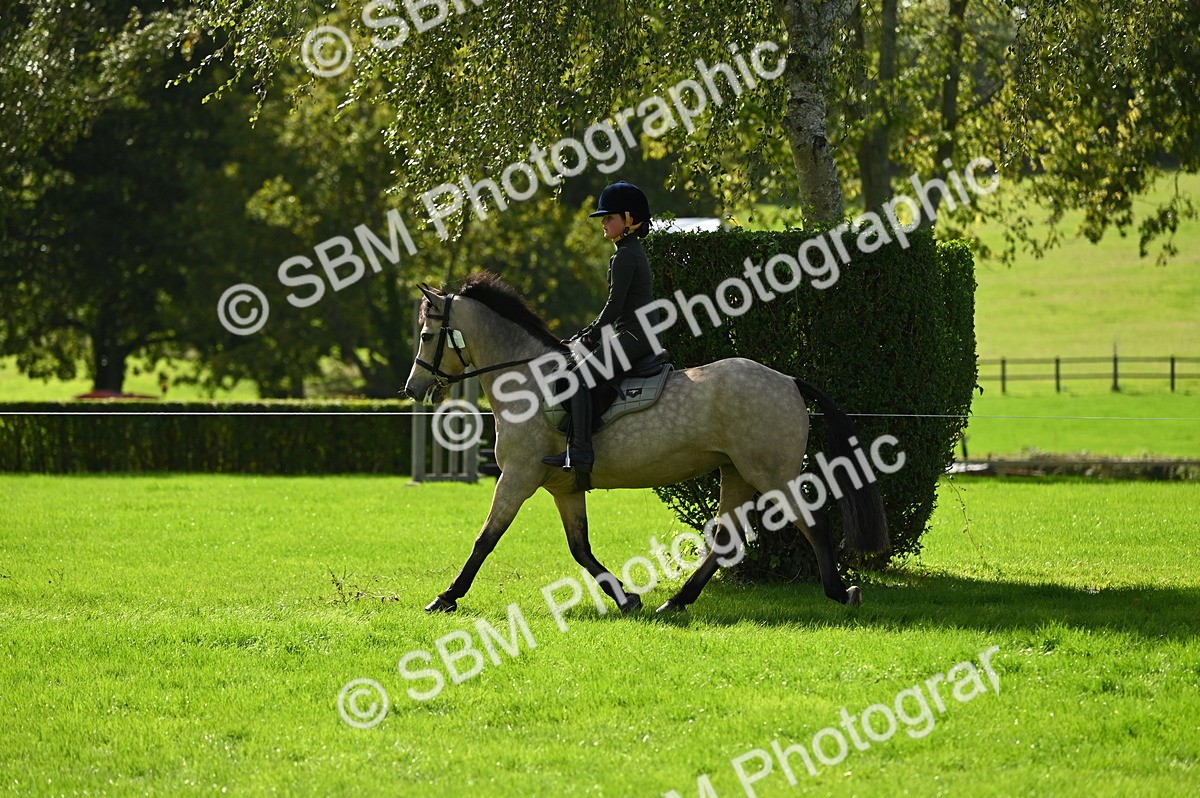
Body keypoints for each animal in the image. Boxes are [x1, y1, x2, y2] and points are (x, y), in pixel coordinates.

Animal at [403, 272, 890, 615]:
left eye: (427, 335)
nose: (412, 388)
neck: (530, 380)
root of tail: (787, 380)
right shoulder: (564, 487)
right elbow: (580, 548)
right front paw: (626, 598)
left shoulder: (517, 477)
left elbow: (485, 539)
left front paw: (446, 596)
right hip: (735, 472)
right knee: (727, 538)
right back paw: (676, 602)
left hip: (770, 472)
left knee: (814, 524)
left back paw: (840, 593)